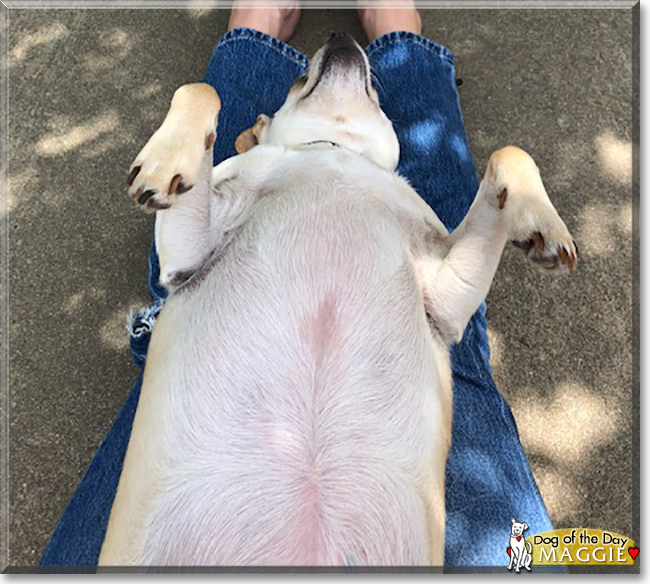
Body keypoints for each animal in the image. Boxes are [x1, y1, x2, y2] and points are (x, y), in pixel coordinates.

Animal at [95, 33, 572, 564]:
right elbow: (201, 88)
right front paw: (167, 159)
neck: (335, 150)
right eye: (297, 77)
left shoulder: (447, 301)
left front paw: (542, 223)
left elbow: (510, 152)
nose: (342, 38)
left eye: (376, 95)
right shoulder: (187, 256)